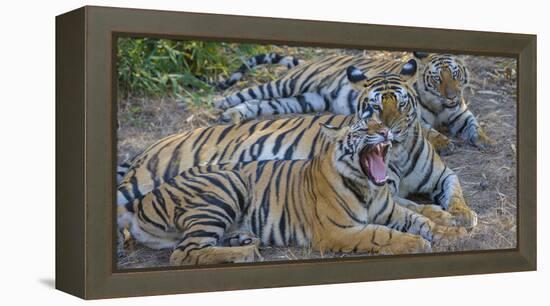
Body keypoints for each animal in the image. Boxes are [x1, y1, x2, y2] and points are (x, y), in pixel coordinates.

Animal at [118, 118, 468, 264]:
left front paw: (454, 233)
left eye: (380, 124)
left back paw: (244, 241)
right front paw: (416, 243)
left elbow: (421, 220)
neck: (368, 187)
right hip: (225, 186)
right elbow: (381, 234)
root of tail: (140, 204)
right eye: (361, 128)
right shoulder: (338, 231)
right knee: (184, 253)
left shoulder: (392, 209)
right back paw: (245, 253)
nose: (385, 132)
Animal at [119, 67, 478, 230]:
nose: (388, 130)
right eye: (375, 107)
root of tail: (149, 147)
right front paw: (443, 217)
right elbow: (417, 206)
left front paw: (464, 214)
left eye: (401, 105)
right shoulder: (382, 191)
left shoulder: (444, 175)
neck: (399, 153)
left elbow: (457, 192)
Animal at [216, 51, 496, 149]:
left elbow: (474, 125)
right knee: (252, 92)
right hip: (289, 83)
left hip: (304, 100)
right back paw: (223, 105)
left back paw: (233, 115)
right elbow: (430, 132)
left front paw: (485, 140)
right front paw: (444, 143)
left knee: (260, 104)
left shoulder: (461, 113)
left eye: (456, 75)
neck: (440, 105)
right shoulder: (415, 119)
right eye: (438, 78)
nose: (452, 95)